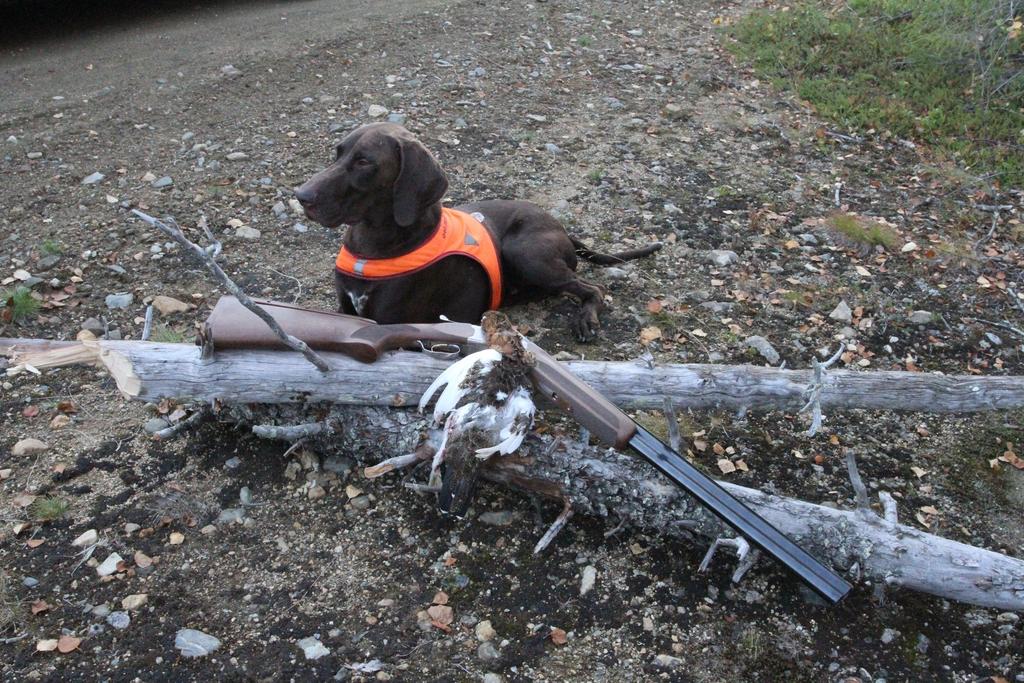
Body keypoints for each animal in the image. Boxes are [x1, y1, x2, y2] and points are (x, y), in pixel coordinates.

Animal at [292, 123, 659, 342]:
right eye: (338, 152)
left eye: (364, 162)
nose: (301, 195)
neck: (372, 246)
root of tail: (562, 229)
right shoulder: (346, 311)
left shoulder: (385, 322)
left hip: (523, 252)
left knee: (593, 287)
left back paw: (585, 318)